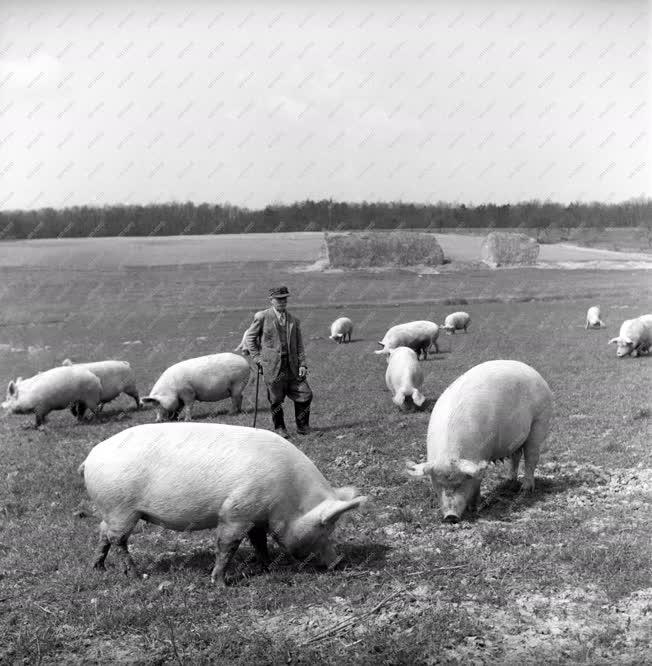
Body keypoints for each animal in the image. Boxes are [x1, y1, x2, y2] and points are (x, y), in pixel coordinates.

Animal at [79, 422, 366, 584]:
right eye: (325, 527)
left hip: (112, 510)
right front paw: (220, 584)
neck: (289, 496)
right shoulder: (236, 510)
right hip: (121, 507)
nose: (339, 561)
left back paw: (98, 568)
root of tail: (90, 458)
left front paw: (265, 567)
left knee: (102, 532)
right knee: (117, 539)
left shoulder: (256, 514)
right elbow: (227, 545)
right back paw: (137, 575)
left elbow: (258, 541)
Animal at [408, 360, 552, 520]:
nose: (450, 517)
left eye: (463, 481)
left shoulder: (481, 456)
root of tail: (534, 372)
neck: (449, 454)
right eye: (437, 484)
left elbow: (478, 482)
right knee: (516, 456)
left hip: (540, 420)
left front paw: (474, 508)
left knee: (531, 457)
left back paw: (525, 490)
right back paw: (509, 481)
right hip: (516, 438)